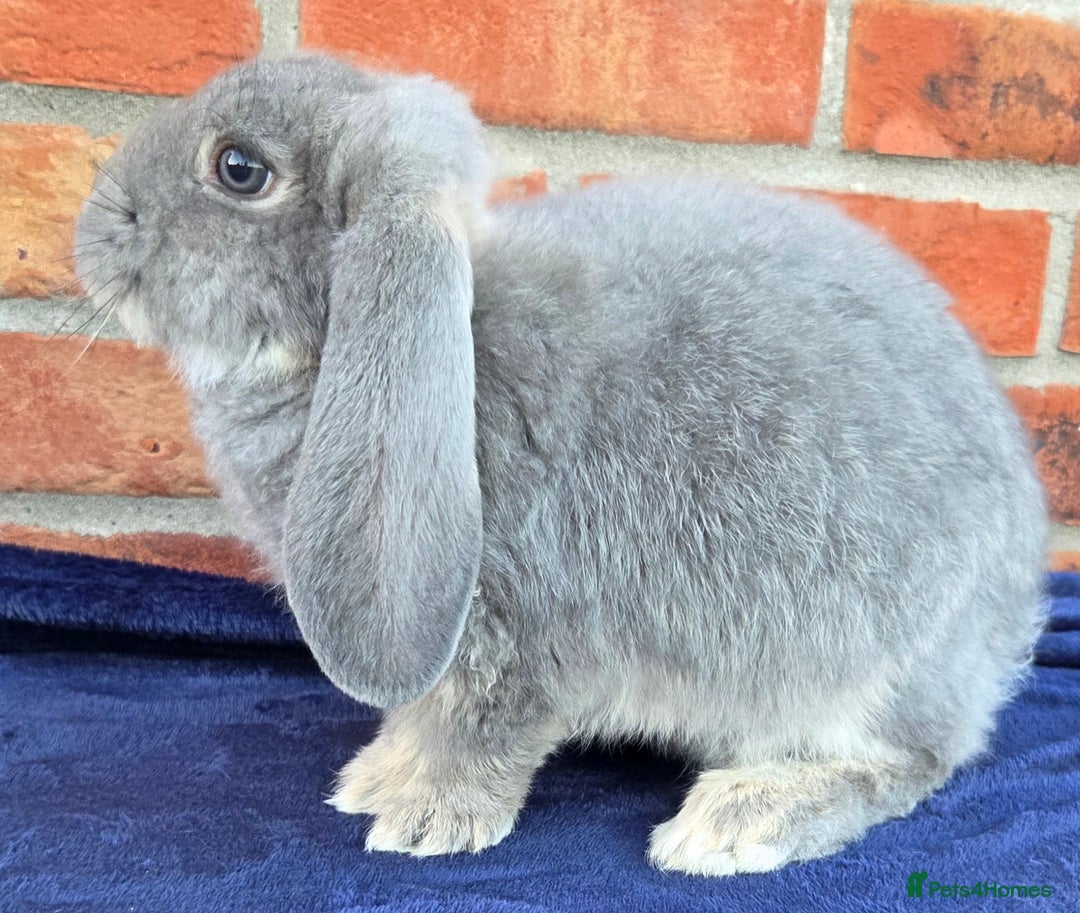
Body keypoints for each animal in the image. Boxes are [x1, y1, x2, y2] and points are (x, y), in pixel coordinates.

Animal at [75, 52, 1047, 876]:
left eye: (240, 168)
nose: (93, 225)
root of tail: (1007, 624)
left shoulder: (515, 627)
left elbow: (485, 728)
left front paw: (428, 817)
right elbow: (423, 714)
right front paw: (376, 776)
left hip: (870, 672)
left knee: (909, 761)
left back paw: (739, 819)